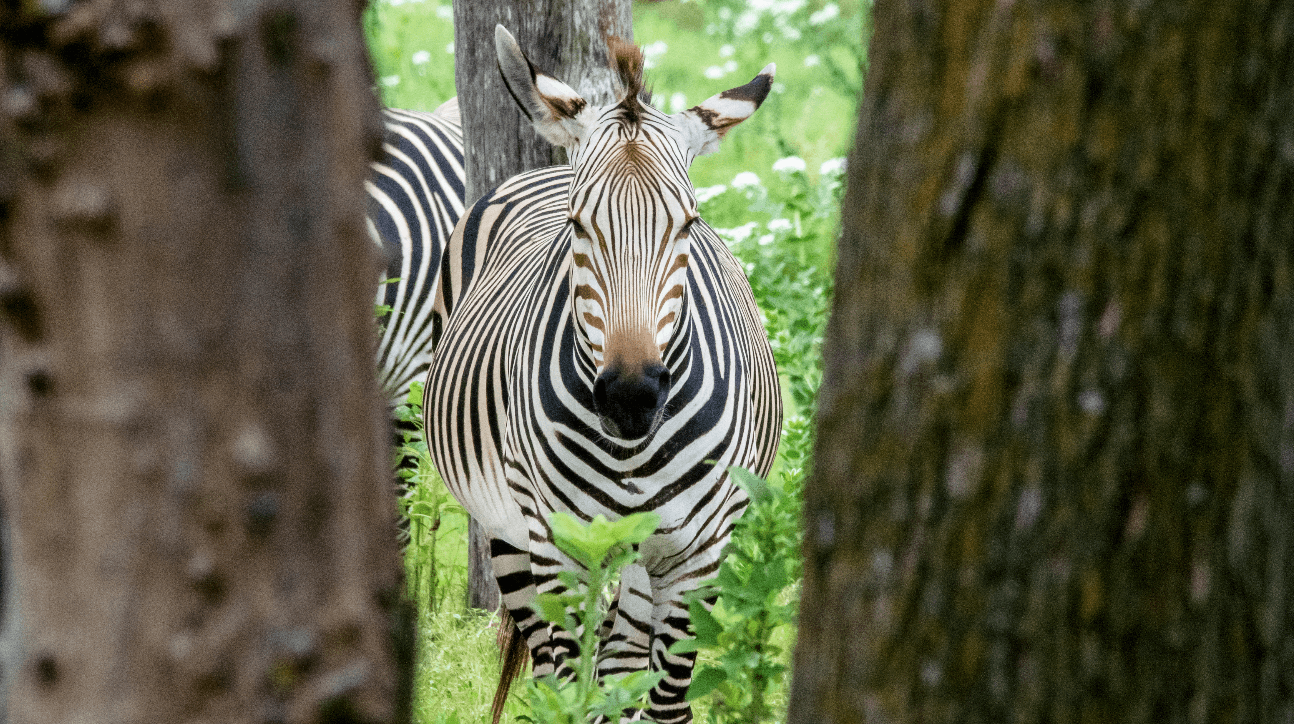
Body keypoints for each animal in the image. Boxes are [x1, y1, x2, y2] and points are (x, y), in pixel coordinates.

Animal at [429, 25, 781, 718]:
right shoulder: (559, 545)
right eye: (577, 226)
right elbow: (574, 696)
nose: (630, 396)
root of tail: (543, 167)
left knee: (621, 669)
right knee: (555, 672)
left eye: (690, 225)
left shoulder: (698, 556)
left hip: (644, 558)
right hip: (511, 533)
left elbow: (663, 702)